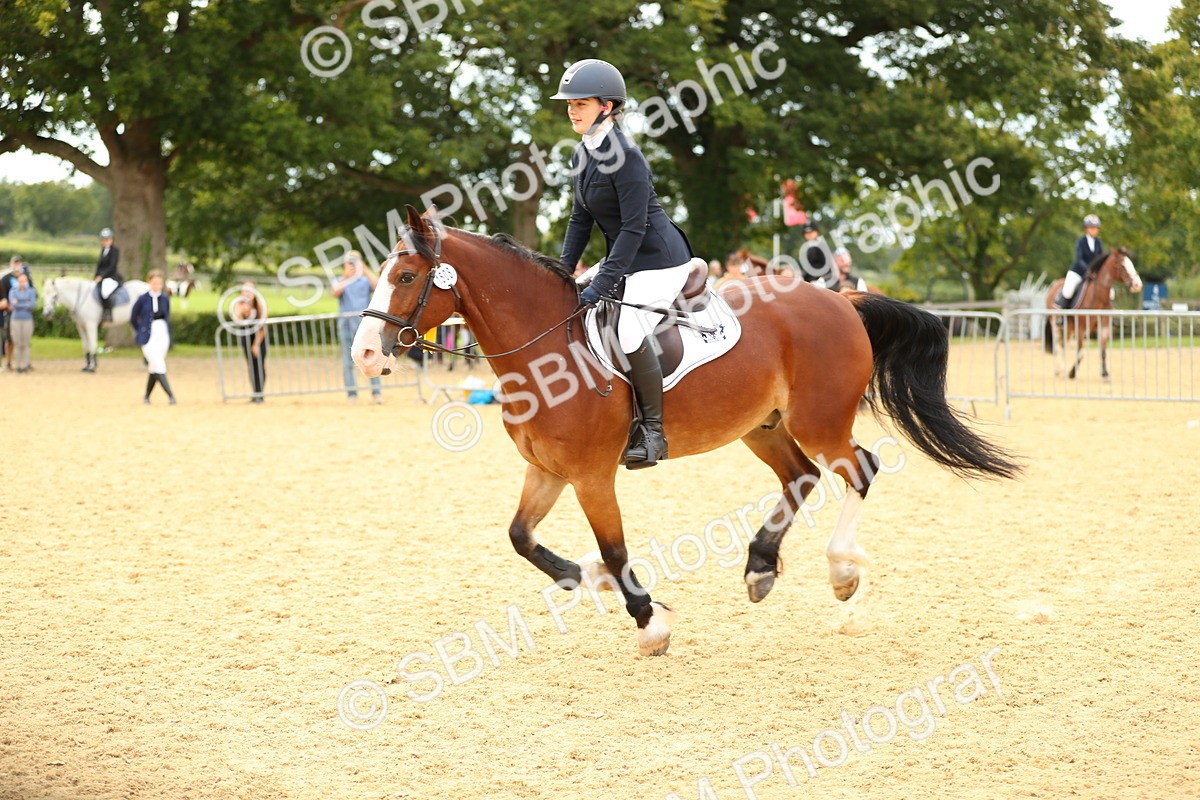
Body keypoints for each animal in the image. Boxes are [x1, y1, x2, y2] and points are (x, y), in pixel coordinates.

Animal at [353, 207, 1020, 657]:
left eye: (406, 278)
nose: (364, 355)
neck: (545, 348)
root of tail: (842, 301)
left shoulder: (591, 475)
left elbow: (614, 549)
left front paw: (650, 621)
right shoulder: (546, 470)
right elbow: (521, 538)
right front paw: (592, 582)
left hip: (819, 420)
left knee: (856, 469)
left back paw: (841, 573)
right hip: (761, 426)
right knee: (801, 475)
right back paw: (760, 567)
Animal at [1044, 248, 1142, 380]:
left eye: (1130, 263)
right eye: (1122, 266)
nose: (1137, 285)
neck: (1098, 297)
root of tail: (1053, 286)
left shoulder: (1104, 326)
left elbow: (1103, 351)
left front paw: (1105, 373)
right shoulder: (1081, 328)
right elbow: (1080, 352)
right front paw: (1072, 373)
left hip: (1068, 328)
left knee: (1064, 346)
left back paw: (1059, 371)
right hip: (1056, 324)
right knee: (1058, 346)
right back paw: (1062, 370)